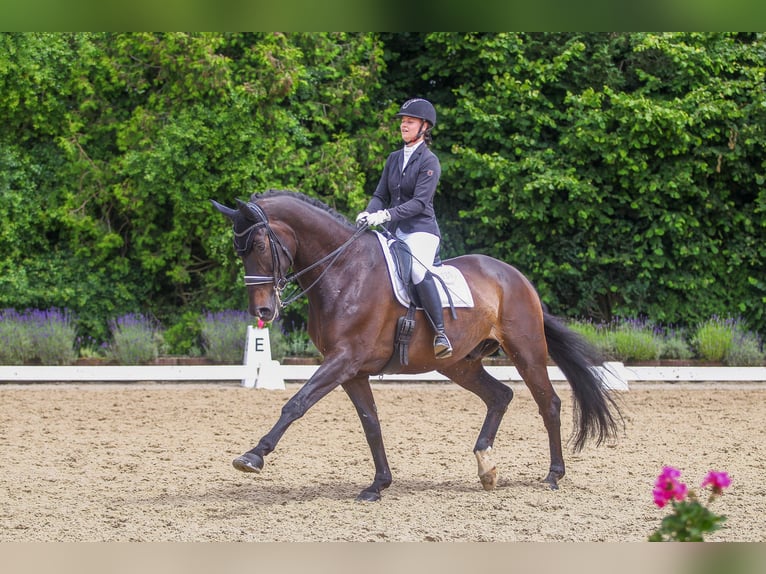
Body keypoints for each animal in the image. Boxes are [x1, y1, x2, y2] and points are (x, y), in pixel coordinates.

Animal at [211, 190, 622, 502]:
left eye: (259, 244)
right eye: (238, 249)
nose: (262, 311)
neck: (344, 271)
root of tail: (516, 277)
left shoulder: (344, 359)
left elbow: (296, 403)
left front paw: (253, 456)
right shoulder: (350, 369)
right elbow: (371, 423)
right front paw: (378, 485)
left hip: (527, 350)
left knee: (548, 403)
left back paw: (553, 475)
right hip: (459, 363)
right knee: (500, 396)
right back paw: (486, 467)